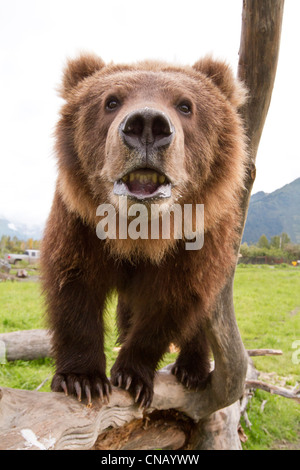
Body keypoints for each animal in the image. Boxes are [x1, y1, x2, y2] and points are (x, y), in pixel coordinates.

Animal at [41, 53, 247, 410]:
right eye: (111, 101)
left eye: (185, 105)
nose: (148, 125)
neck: (141, 235)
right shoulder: (79, 224)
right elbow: (75, 285)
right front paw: (82, 379)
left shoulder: (195, 244)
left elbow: (169, 303)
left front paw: (132, 375)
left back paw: (192, 369)